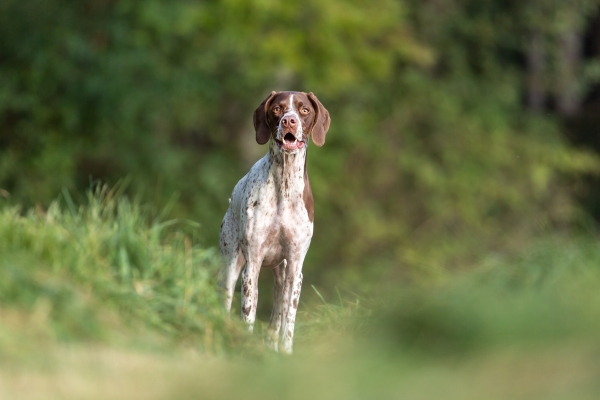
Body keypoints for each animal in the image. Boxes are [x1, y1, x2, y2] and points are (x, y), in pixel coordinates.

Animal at [217, 91, 330, 354]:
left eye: (304, 110)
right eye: (278, 109)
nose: (289, 121)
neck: (284, 187)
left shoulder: (296, 268)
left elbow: (288, 319)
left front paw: (286, 352)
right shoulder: (252, 266)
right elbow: (248, 312)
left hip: (283, 273)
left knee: (278, 311)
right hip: (230, 264)